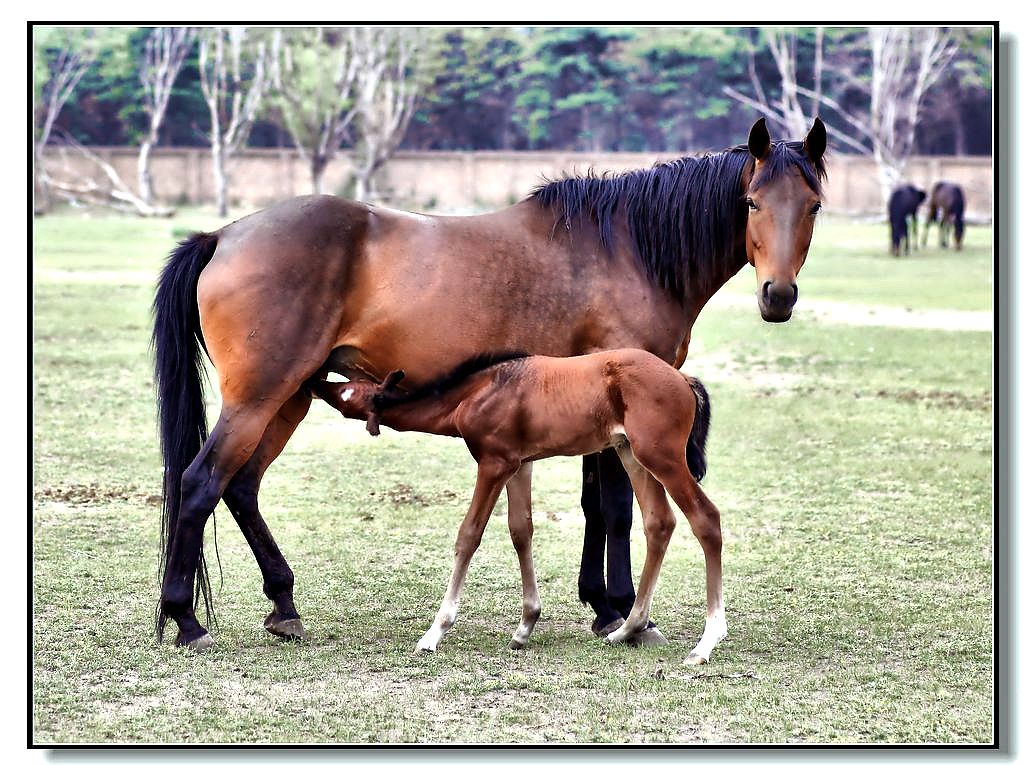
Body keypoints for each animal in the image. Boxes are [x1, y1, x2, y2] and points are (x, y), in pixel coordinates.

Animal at [311, 350, 729, 667]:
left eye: (347, 392)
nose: (315, 381)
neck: (480, 390)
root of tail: (683, 379)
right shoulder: (519, 464)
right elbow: (520, 531)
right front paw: (525, 627)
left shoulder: (493, 464)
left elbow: (469, 534)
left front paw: (434, 632)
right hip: (632, 455)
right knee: (659, 523)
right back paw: (628, 628)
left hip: (662, 457)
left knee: (705, 519)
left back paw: (706, 643)